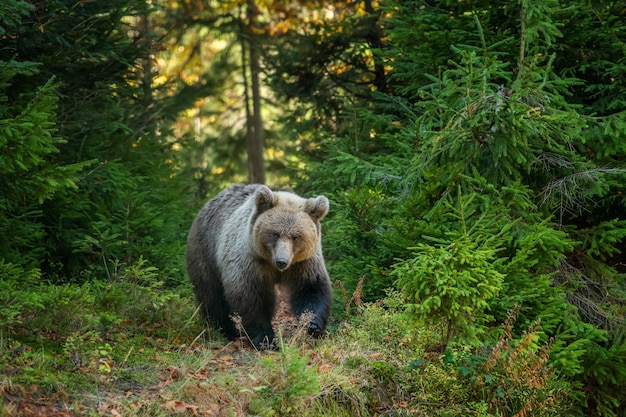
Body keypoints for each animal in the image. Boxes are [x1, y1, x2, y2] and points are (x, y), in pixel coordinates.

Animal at [184, 182, 332, 348]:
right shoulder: (250, 261)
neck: (272, 263)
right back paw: (226, 329)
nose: (282, 261)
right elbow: (250, 296)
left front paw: (313, 326)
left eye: (296, 236)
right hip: (205, 252)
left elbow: (311, 289)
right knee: (212, 294)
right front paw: (266, 339)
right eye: (275, 234)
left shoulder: (303, 263)